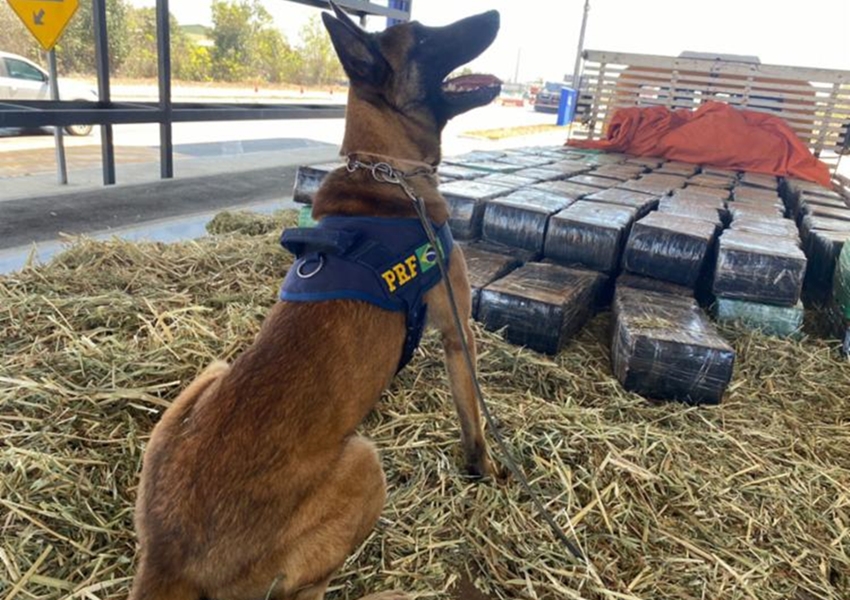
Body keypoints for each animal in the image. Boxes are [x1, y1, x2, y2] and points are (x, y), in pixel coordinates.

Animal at [129, 4, 500, 600]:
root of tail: (171, 557)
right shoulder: (456, 333)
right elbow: (474, 422)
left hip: (210, 375)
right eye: (423, 37)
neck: (385, 167)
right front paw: (485, 469)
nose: (494, 15)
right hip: (365, 464)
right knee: (307, 588)